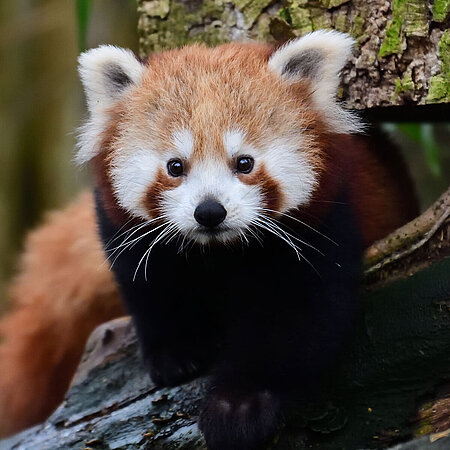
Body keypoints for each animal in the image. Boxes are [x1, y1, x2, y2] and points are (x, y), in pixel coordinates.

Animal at [0, 30, 418, 446]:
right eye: (175, 166)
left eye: (244, 163)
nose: (210, 211)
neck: (219, 254)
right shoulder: (127, 234)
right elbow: (150, 290)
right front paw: (175, 355)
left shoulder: (325, 222)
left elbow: (297, 319)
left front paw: (237, 406)